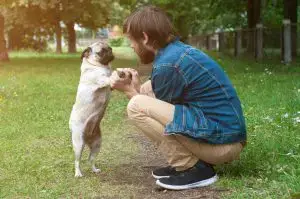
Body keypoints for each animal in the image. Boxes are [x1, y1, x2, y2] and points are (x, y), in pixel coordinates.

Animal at [69, 40, 115, 177]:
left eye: (110, 48)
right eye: (101, 52)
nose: (111, 51)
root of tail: (87, 138)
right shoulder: (102, 79)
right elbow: (110, 77)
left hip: (97, 144)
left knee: (91, 159)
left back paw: (94, 170)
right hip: (78, 144)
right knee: (77, 161)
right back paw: (78, 173)